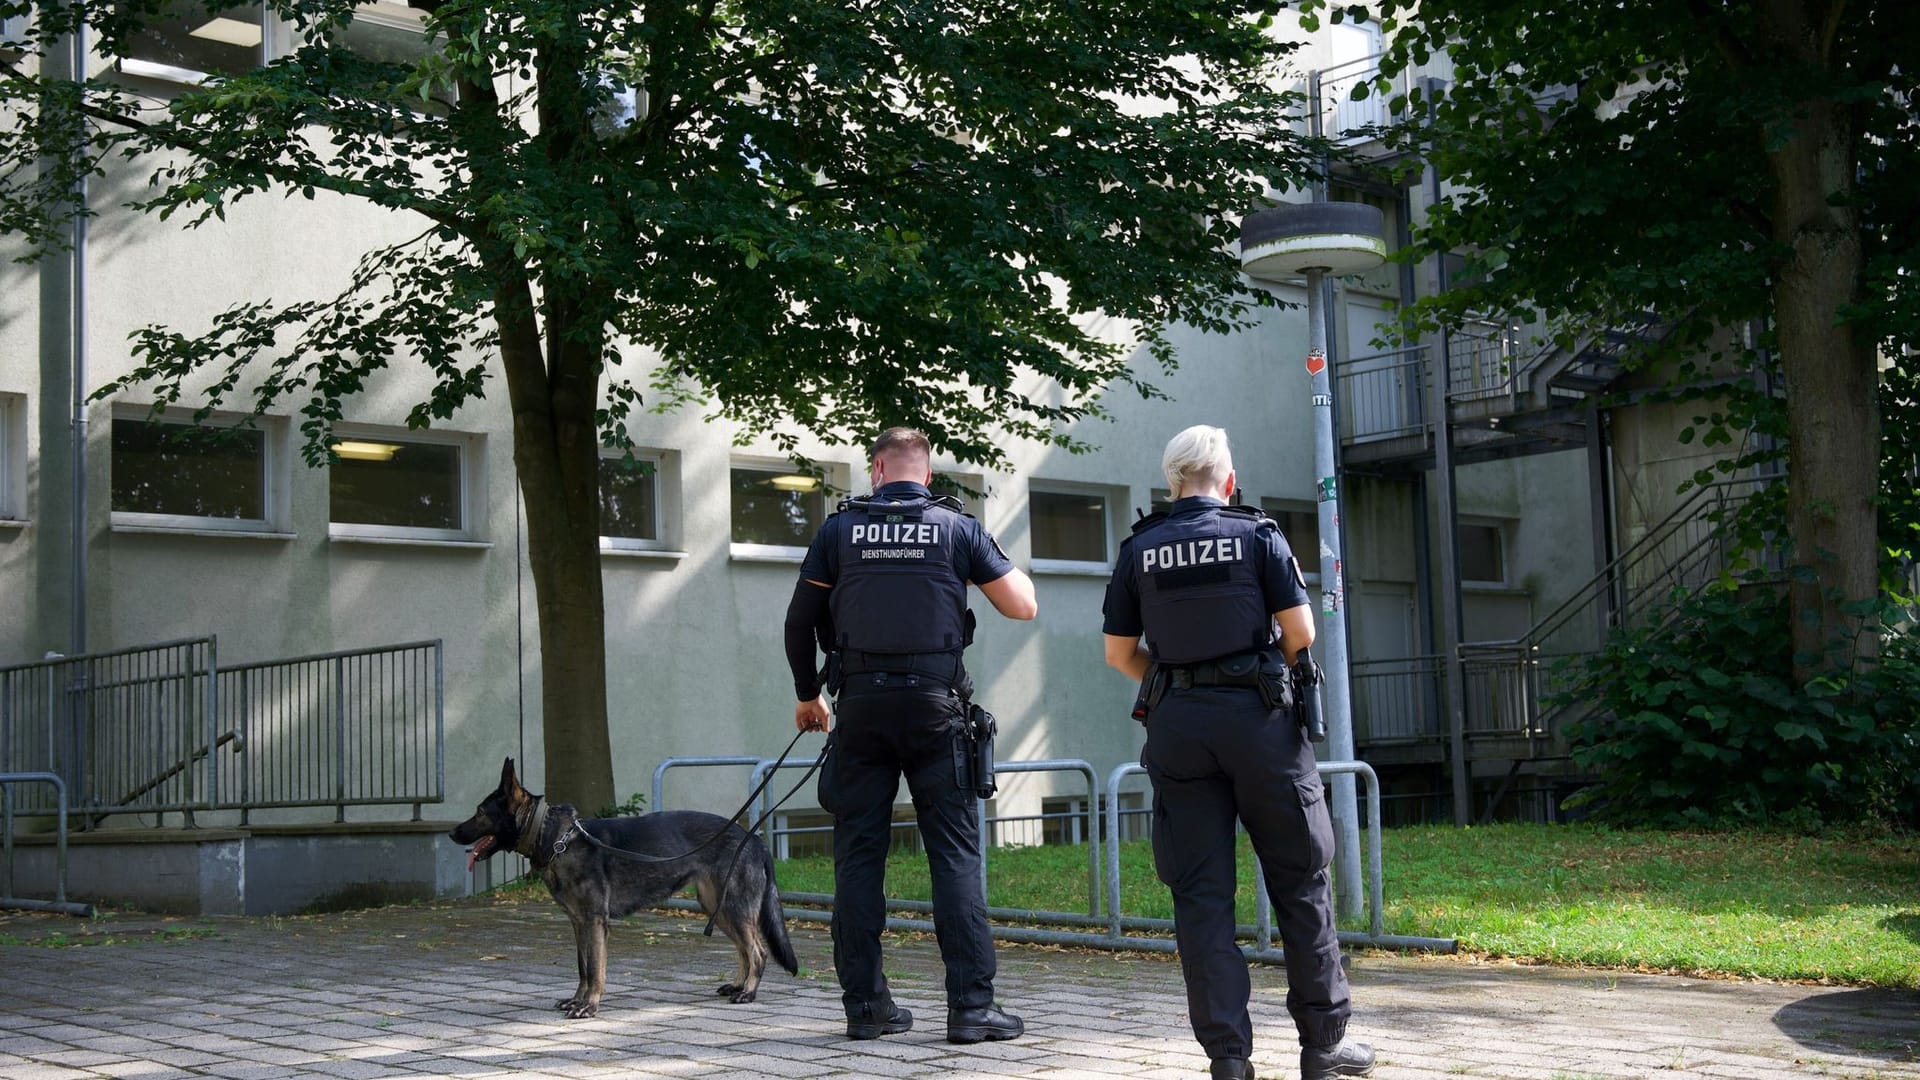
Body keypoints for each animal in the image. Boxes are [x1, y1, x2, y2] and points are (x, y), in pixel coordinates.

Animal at [449, 753, 794, 1014]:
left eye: (480, 812)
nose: (452, 832)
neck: (559, 839)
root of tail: (755, 839)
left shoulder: (594, 923)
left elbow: (595, 969)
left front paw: (588, 1007)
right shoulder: (579, 924)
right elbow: (583, 968)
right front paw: (577, 1000)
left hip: (734, 907)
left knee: (757, 951)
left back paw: (748, 992)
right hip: (717, 909)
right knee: (744, 949)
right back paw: (738, 984)